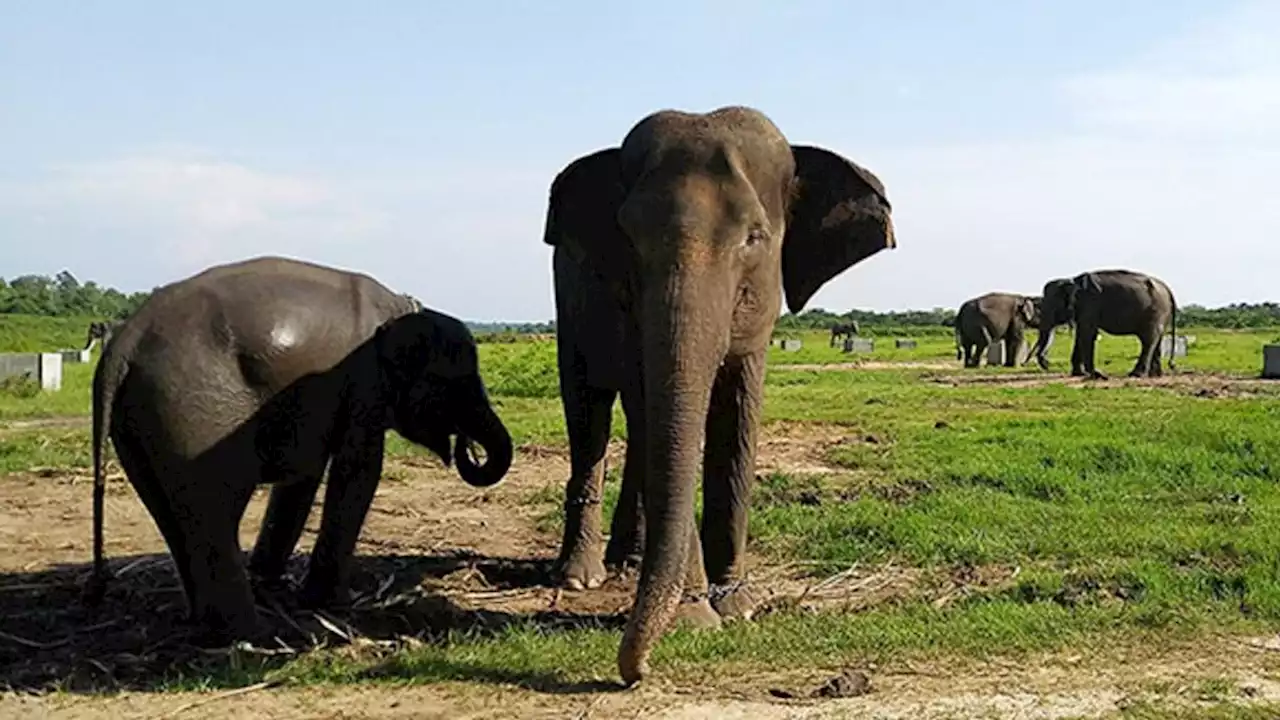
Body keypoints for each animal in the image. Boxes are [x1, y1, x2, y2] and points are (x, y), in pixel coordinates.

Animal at [82, 254, 514, 640]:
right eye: (455, 383)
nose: (466, 446)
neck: (401, 308)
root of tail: (123, 345)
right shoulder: (366, 387)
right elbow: (359, 470)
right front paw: (330, 603)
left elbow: (303, 477)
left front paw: (274, 583)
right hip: (194, 412)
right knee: (215, 506)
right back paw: (252, 632)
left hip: (138, 424)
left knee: (171, 511)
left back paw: (206, 622)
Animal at [545, 103, 896, 681]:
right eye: (628, 237)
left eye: (754, 237)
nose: (636, 670)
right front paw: (694, 618)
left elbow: (737, 414)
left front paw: (738, 605)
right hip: (566, 299)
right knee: (589, 412)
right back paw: (581, 576)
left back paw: (629, 563)